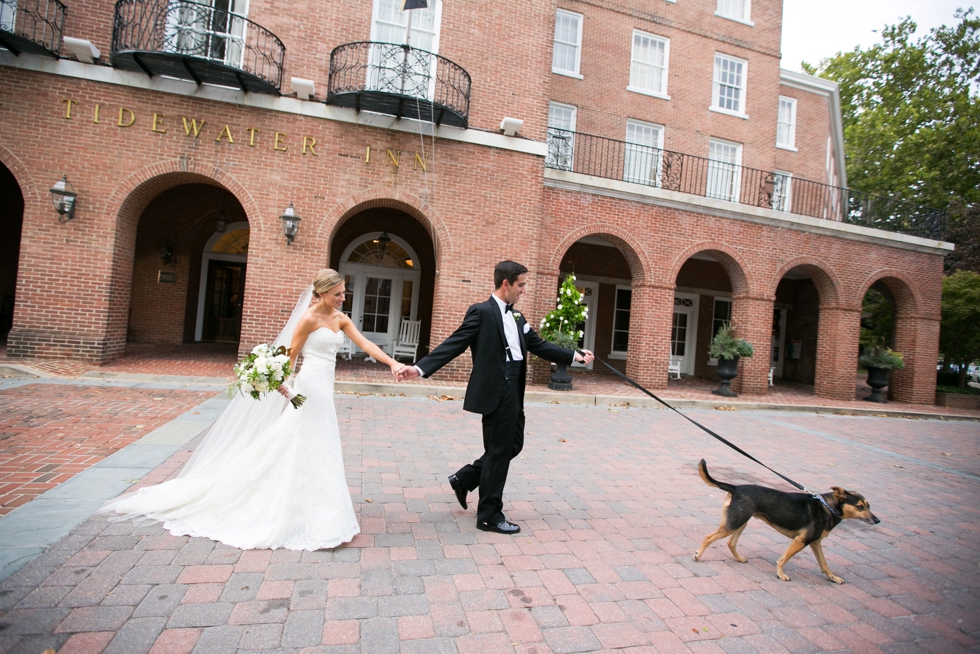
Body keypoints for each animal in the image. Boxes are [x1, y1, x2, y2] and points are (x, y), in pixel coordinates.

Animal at [688, 462, 880, 584]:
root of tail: (735, 487)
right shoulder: (800, 541)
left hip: (740, 521)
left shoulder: (815, 543)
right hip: (734, 523)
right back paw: (698, 555)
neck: (827, 506)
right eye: (859, 506)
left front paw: (833, 578)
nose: (877, 520)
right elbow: (782, 559)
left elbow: (824, 564)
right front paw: (781, 574)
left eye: (868, 505)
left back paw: (739, 558)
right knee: (708, 537)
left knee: (731, 543)